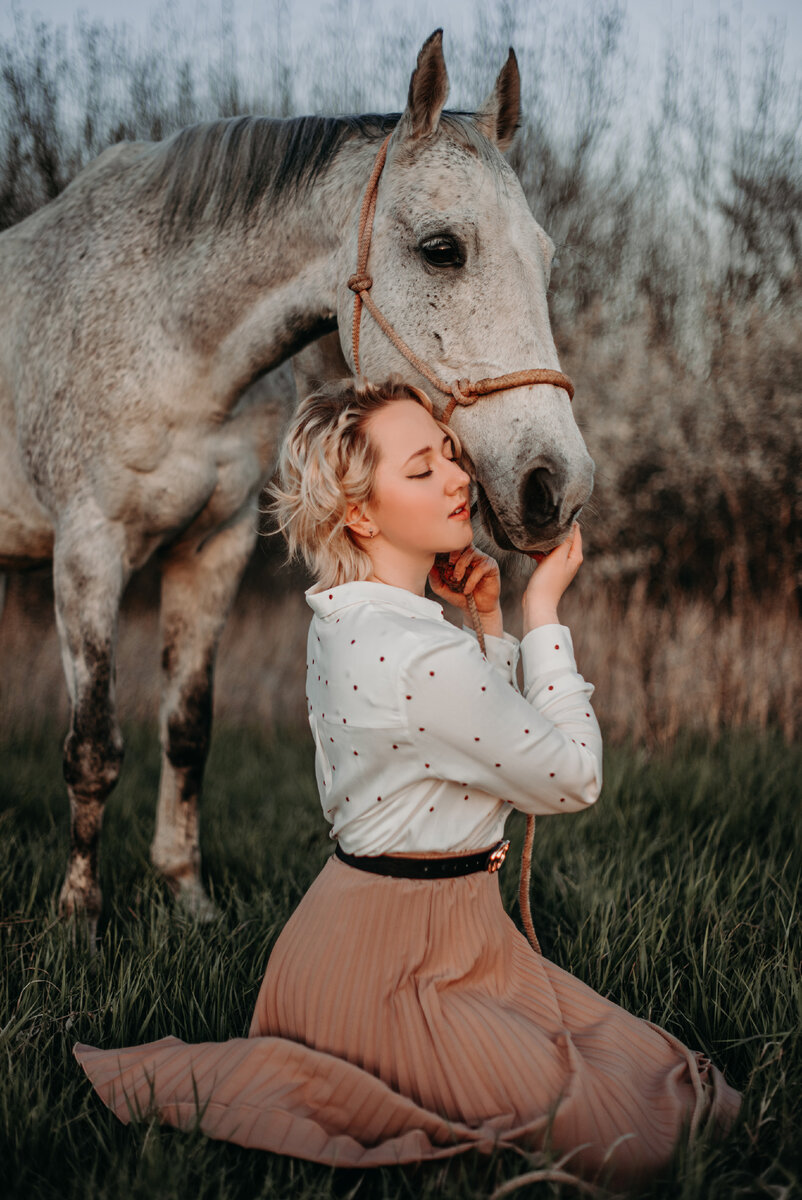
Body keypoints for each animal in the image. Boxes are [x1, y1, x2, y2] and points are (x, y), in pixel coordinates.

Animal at [0, 30, 594, 940]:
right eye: (443, 249)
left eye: (545, 256)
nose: (555, 485)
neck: (168, 332)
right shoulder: (89, 547)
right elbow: (94, 746)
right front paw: (79, 921)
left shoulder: (213, 547)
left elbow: (187, 731)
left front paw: (188, 897)